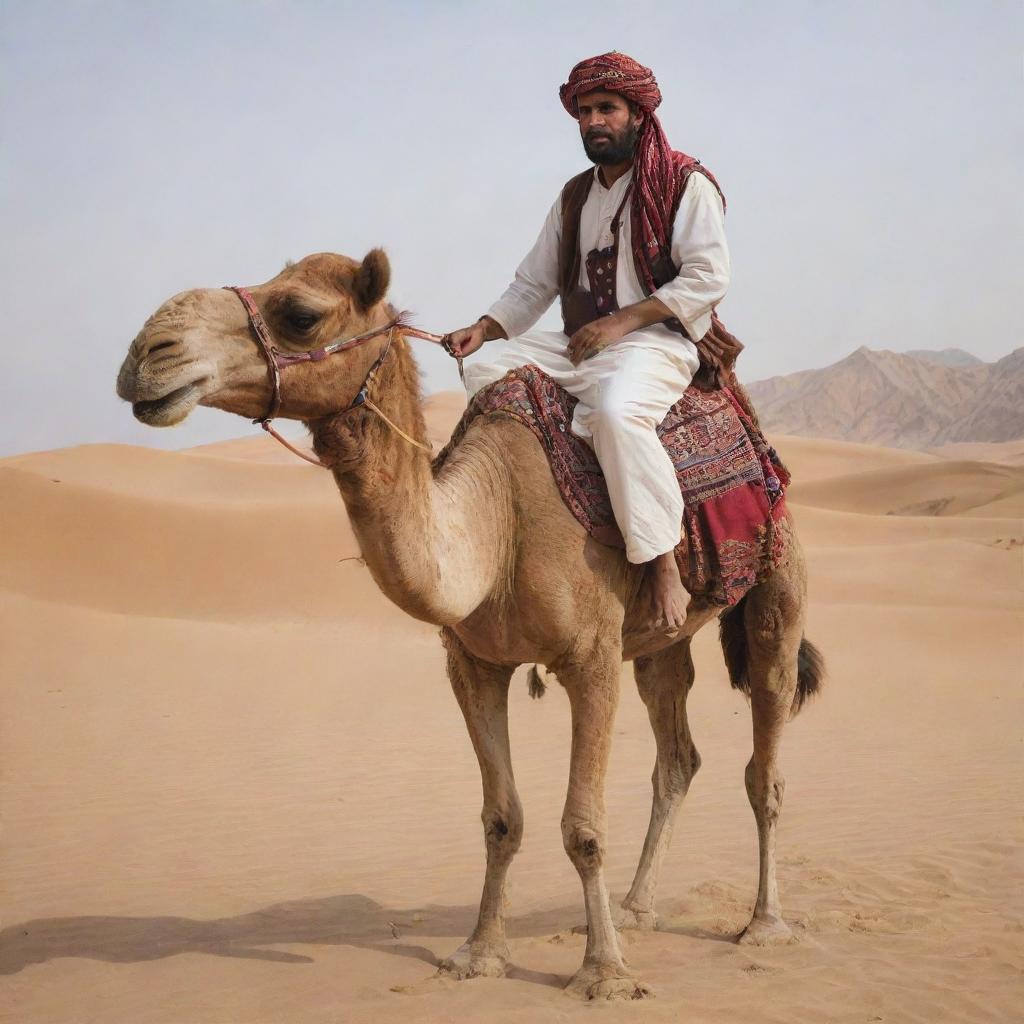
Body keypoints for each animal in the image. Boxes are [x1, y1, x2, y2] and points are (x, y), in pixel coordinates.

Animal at [116, 247, 819, 999]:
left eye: (299, 314)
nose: (146, 355)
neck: (497, 522)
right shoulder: (473, 664)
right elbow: (502, 817)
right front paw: (479, 954)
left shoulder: (591, 659)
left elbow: (584, 827)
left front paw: (602, 973)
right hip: (663, 639)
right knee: (677, 754)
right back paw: (636, 908)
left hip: (777, 588)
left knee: (765, 765)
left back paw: (762, 924)